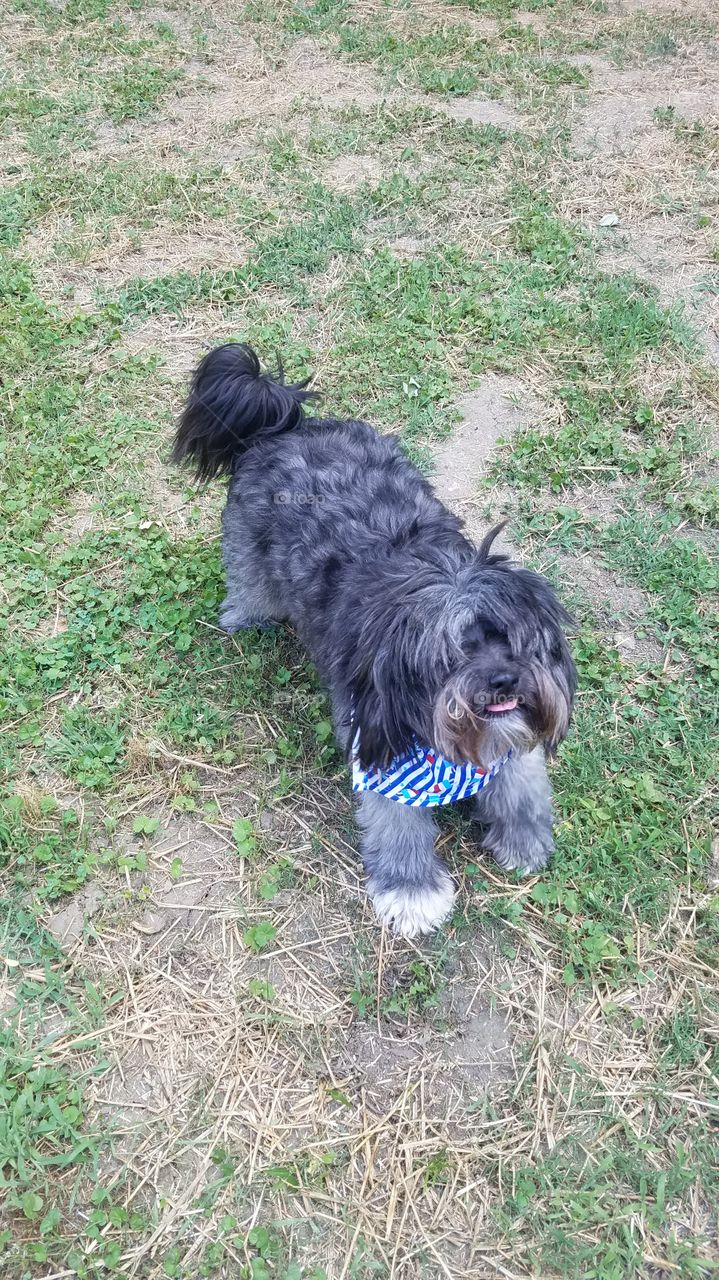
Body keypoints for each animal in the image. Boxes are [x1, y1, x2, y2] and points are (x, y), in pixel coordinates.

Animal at [170, 345, 573, 936]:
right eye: (452, 653)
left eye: (510, 639)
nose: (504, 679)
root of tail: (287, 426)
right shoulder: (384, 758)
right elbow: (398, 828)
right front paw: (412, 889)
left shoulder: (513, 741)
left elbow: (523, 785)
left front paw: (523, 839)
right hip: (249, 557)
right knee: (248, 588)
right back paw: (247, 618)